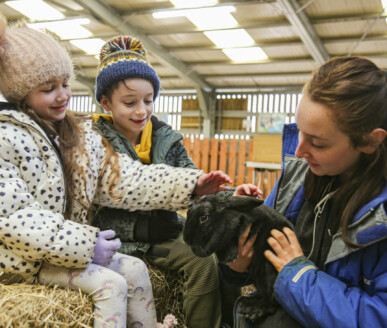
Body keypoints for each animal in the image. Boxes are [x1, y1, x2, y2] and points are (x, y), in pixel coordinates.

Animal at [184, 193, 294, 322]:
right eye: (188, 212)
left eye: (204, 217)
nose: (186, 239)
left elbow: (234, 238)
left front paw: (229, 257)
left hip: (268, 269)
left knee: (272, 301)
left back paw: (250, 310)